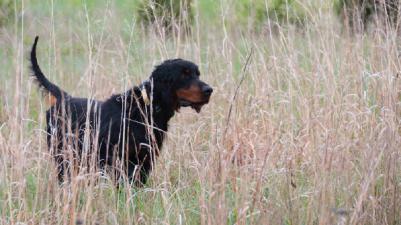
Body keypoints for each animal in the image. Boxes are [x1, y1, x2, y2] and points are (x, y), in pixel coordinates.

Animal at [29, 36, 211, 185]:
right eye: (184, 74)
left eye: (197, 74)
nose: (209, 90)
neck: (145, 108)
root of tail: (64, 97)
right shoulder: (117, 160)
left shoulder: (144, 160)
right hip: (63, 156)